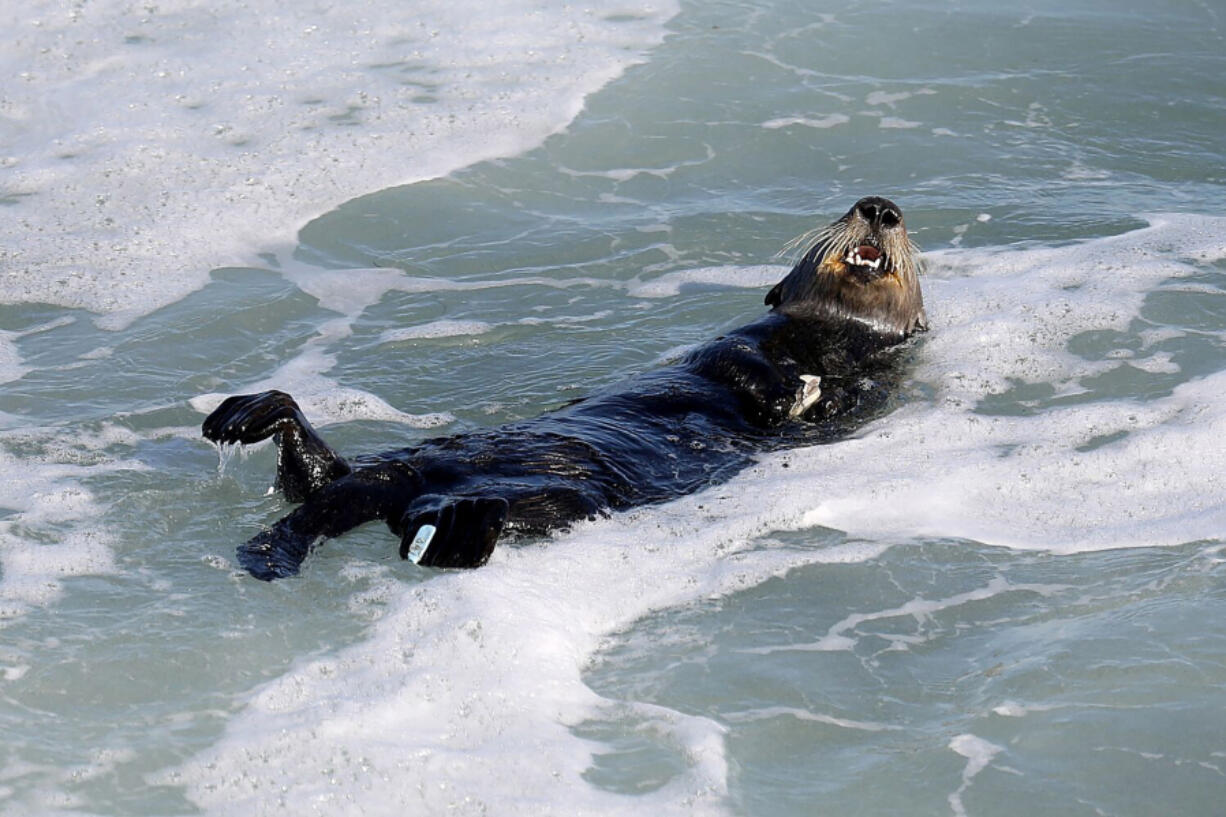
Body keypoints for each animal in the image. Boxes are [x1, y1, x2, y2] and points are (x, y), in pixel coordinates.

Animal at [203, 196, 926, 579]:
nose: (880, 208)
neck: (826, 343)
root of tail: (424, 483)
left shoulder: (876, 386)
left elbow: (840, 408)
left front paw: (803, 396)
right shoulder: (746, 335)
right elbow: (731, 357)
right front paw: (783, 389)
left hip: (560, 498)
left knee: (374, 505)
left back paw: (454, 529)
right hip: (426, 465)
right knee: (327, 485)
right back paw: (247, 417)